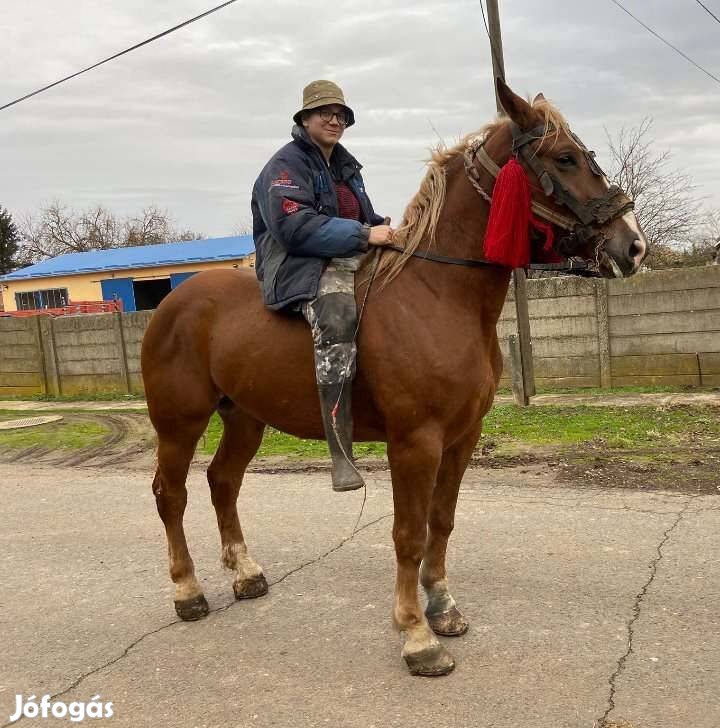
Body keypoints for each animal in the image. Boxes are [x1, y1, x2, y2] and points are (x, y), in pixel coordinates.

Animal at [141, 79, 648, 676]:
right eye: (565, 158)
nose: (633, 244)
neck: (437, 294)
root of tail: (175, 301)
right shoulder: (415, 442)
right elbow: (408, 534)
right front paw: (416, 635)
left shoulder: (461, 438)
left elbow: (441, 522)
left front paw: (443, 607)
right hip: (179, 423)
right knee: (171, 495)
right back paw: (188, 591)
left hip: (244, 419)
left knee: (223, 482)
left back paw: (245, 573)